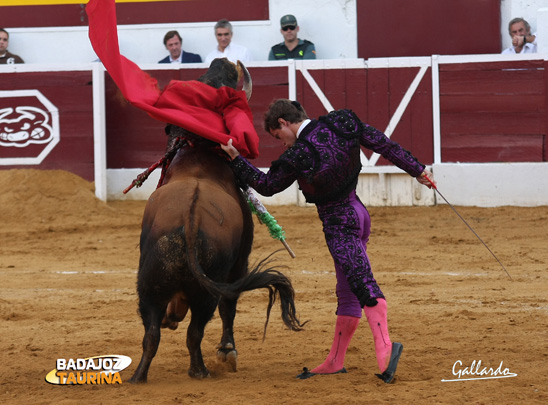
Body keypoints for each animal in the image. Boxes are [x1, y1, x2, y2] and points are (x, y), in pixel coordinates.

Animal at [129, 56, 304, 382]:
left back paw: (140, 375)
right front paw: (227, 351)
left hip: (149, 287)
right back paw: (200, 369)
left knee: (153, 332)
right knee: (196, 329)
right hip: (207, 287)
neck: (198, 157)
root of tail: (190, 221)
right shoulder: (238, 264)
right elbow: (229, 307)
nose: (220, 59)